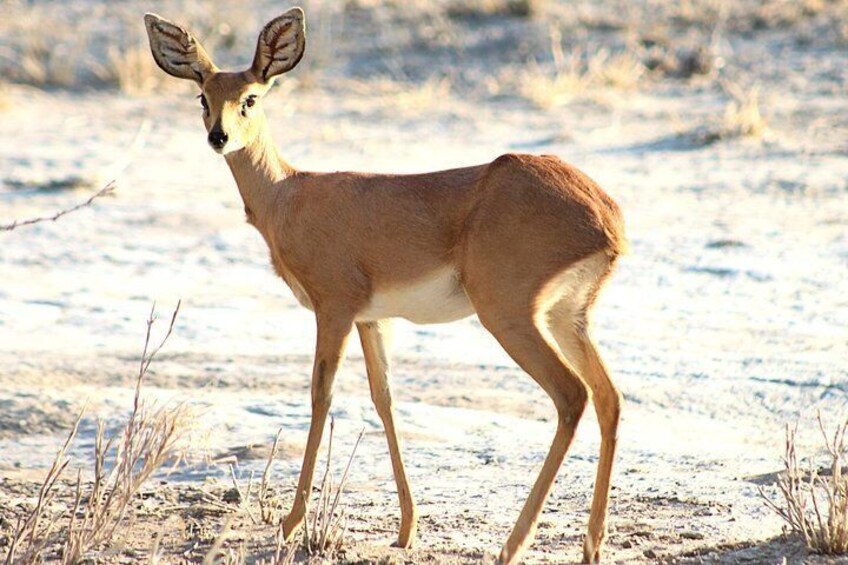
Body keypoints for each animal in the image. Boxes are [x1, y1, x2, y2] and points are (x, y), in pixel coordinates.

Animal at [144, 7, 626, 564]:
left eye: (251, 97)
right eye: (203, 96)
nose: (219, 138)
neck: (288, 197)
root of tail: (607, 219)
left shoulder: (333, 309)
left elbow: (321, 394)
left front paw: (290, 522)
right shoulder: (372, 319)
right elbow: (385, 398)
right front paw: (407, 527)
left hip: (509, 317)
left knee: (572, 395)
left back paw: (512, 544)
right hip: (567, 317)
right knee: (609, 397)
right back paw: (591, 545)